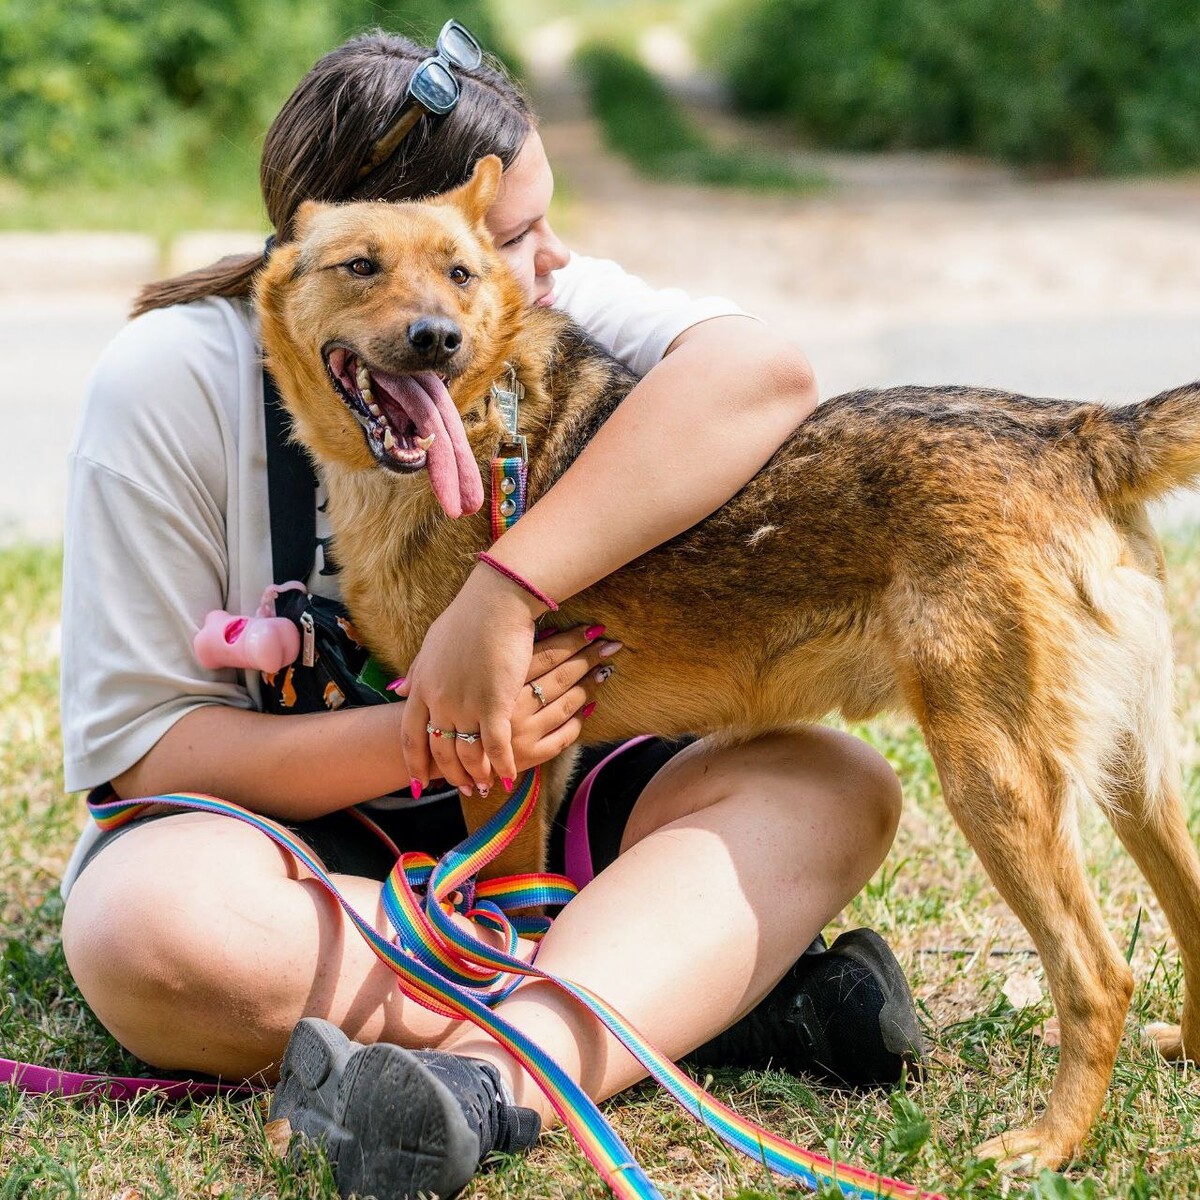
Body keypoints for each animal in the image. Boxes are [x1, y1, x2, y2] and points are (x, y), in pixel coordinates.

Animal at [258, 157, 1200, 1171]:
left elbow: (501, 920)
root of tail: (1081, 432)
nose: (437, 338)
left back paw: (1048, 1145)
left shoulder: (501, 764)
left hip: (995, 780)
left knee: (1098, 977)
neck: (473, 425)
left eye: (460, 273)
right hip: (1134, 774)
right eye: (361, 265)